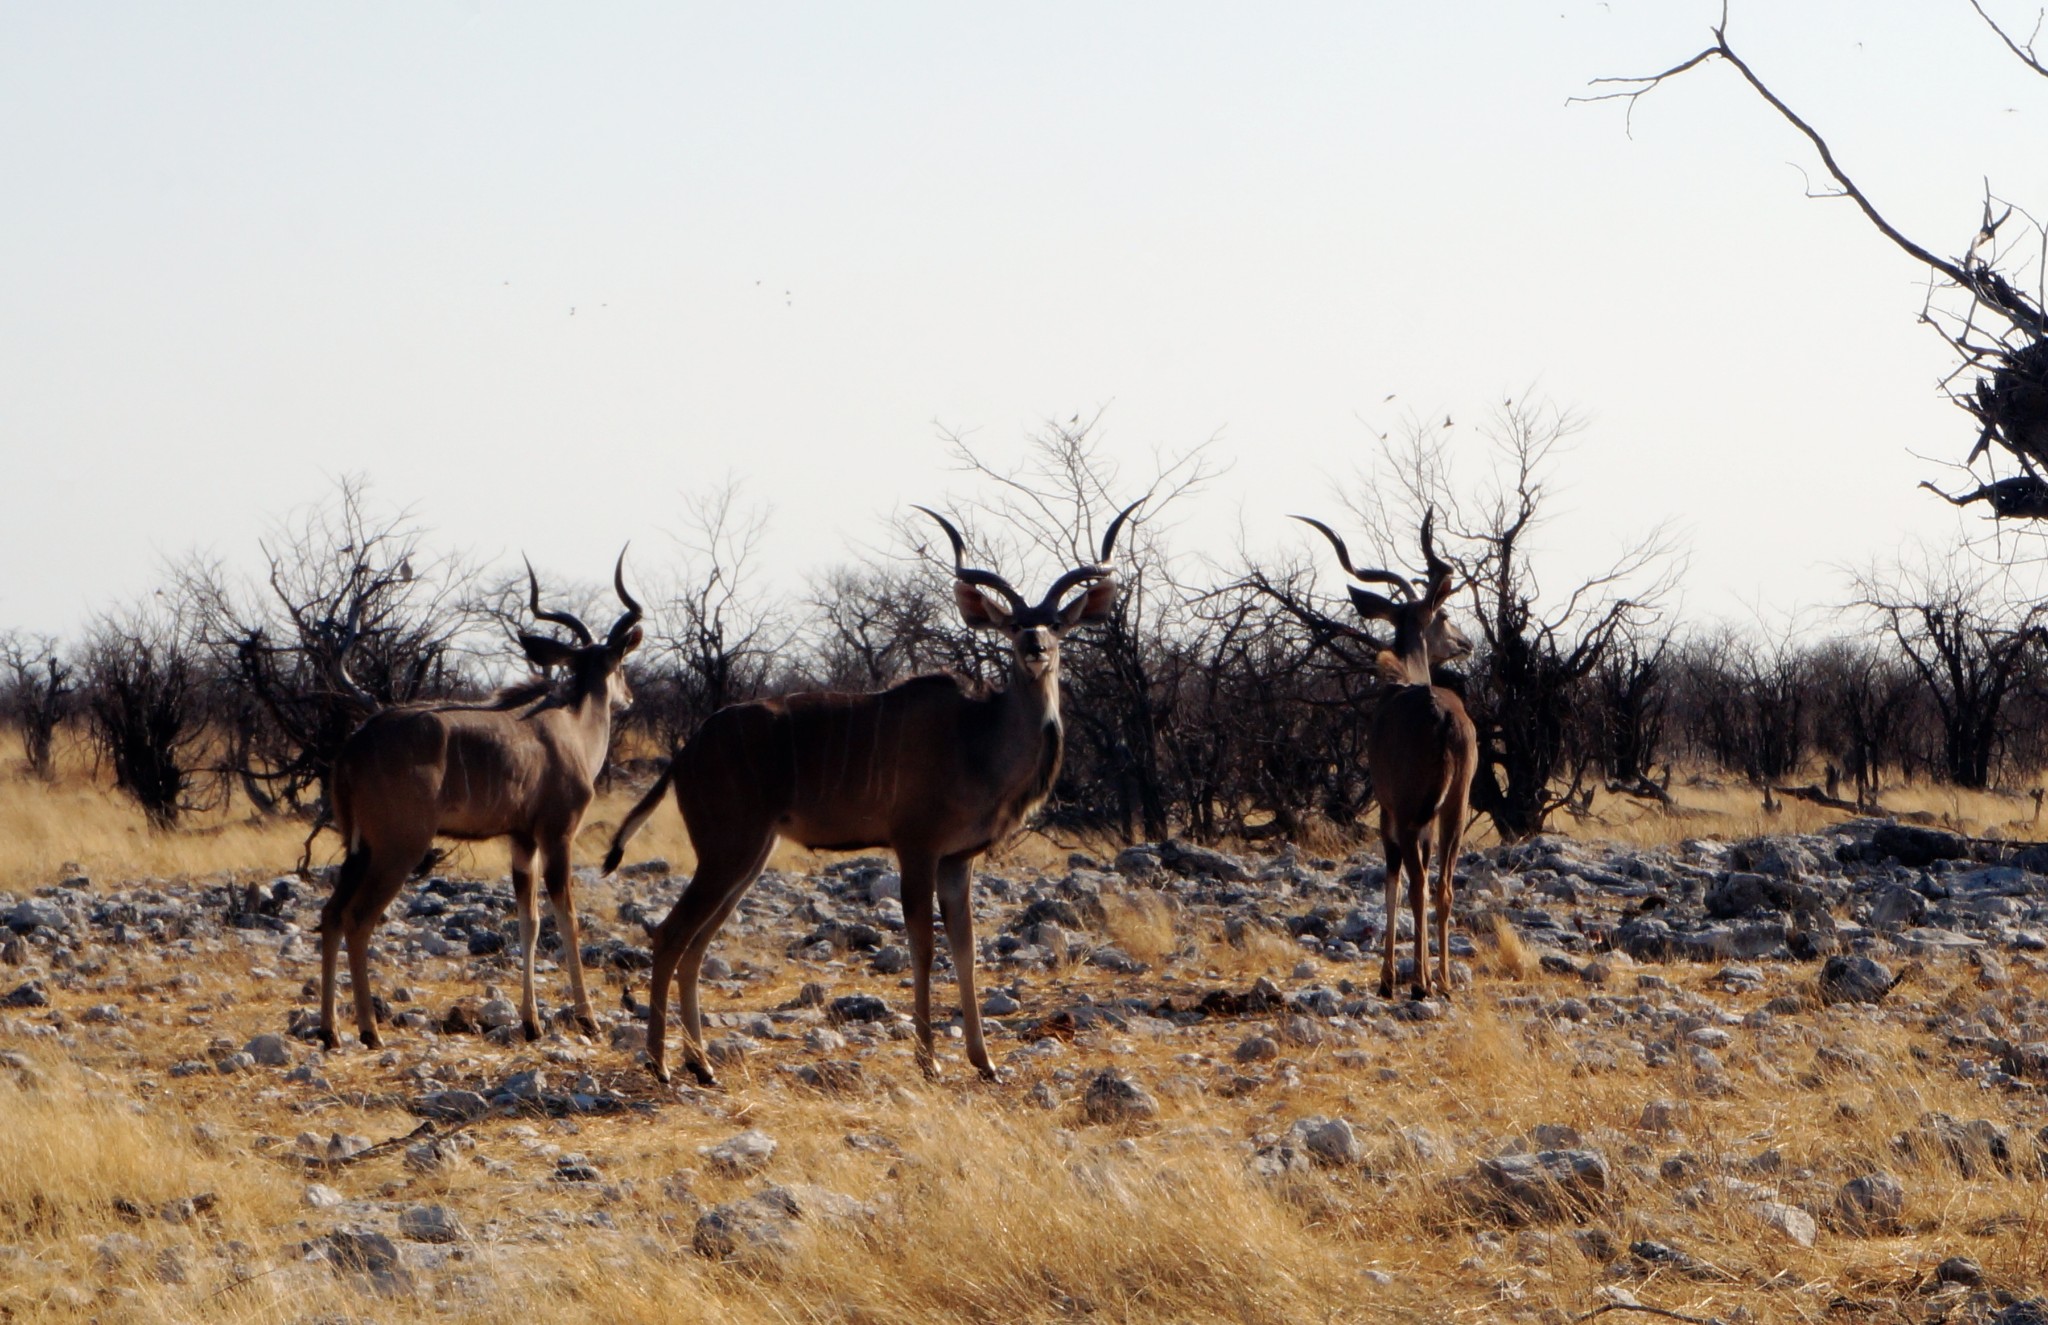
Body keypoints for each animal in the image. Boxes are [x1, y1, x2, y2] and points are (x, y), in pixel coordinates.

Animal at [315, 552, 638, 1048]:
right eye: (620, 664)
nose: (630, 697)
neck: (569, 725)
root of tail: (355, 744)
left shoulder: (521, 841)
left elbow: (529, 921)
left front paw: (532, 1022)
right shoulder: (557, 836)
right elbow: (566, 916)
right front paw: (587, 1019)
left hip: (361, 850)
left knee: (331, 915)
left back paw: (331, 1031)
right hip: (397, 850)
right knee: (357, 919)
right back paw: (370, 1030)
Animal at [598, 503, 1146, 1081]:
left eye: (1057, 623)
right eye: (1014, 624)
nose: (1036, 647)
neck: (978, 736)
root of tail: (688, 750)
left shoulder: (958, 860)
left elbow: (967, 948)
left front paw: (985, 1063)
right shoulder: (917, 848)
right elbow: (923, 945)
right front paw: (928, 1062)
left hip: (747, 857)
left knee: (696, 944)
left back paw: (701, 1066)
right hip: (728, 851)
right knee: (670, 934)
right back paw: (660, 1065)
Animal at [1294, 514, 1474, 999]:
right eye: (1445, 615)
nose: (1465, 642)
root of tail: (1441, 716)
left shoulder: (1389, 813)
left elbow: (1392, 880)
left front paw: (1389, 977)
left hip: (1413, 815)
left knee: (1417, 884)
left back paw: (1419, 983)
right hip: (1452, 810)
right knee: (1442, 886)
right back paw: (1440, 981)